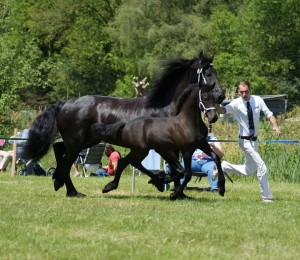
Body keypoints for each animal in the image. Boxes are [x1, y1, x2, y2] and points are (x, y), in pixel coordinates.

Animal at [22, 52, 224, 197]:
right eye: (208, 73)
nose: (221, 96)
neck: (167, 107)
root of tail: (65, 104)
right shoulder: (164, 147)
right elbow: (177, 170)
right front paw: (166, 185)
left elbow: (177, 170)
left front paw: (173, 190)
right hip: (77, 144)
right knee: (65, 162)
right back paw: (72, 191)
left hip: (86, 142)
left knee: (58, 148)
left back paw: (58, 181)